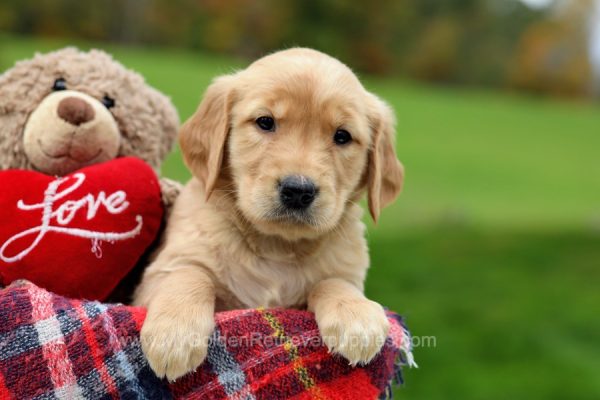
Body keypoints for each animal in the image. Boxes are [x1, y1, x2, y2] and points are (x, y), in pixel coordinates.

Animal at [134, 48, 406, 380]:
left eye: (342, 136)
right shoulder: (164, 269)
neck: (277, 246)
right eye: (265, 122)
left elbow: (333, 282)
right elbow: (189, 274)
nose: (298, 190)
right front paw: (174, 335)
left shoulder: (346, 273)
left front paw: (356, 315)